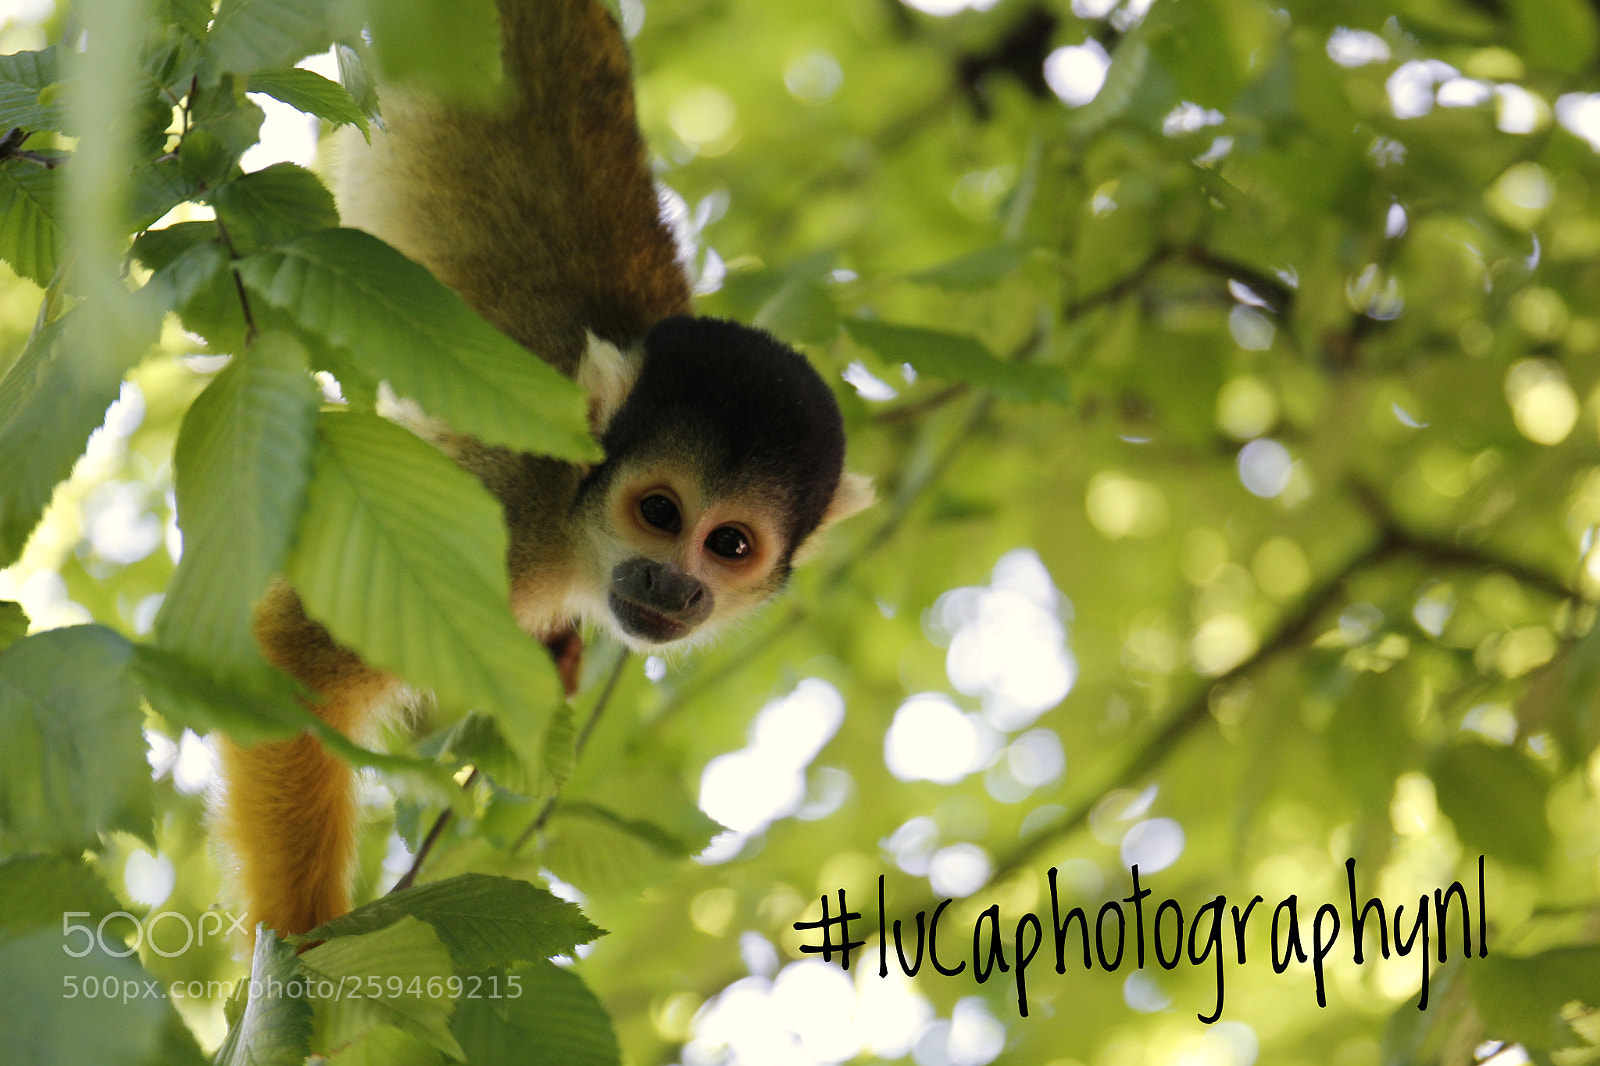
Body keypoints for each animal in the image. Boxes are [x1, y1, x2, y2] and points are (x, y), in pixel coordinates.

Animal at [220, 0, 873, 939]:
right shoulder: (504, 514)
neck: (575, 522)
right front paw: (306, 953)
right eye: (660, 513)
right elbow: (293, 656)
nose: (674, 587)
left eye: (731, 546)